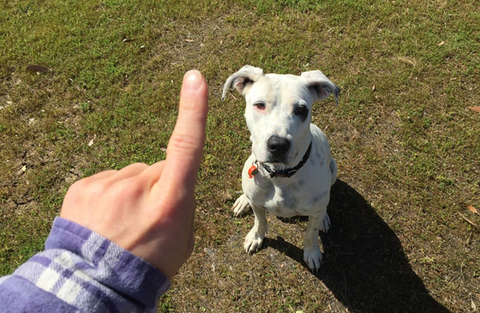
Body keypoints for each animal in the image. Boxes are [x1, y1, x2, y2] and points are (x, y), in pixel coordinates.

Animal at [223, 64, 340, 270]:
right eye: (259, 105)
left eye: (301, 109)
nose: (278, 145)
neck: (279, 175)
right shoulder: (258, 204)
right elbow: (260, 221)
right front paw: (256, 237)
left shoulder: (314, 213)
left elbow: (311, 234)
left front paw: (312, 253)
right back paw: (243, 201)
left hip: (333, 169)